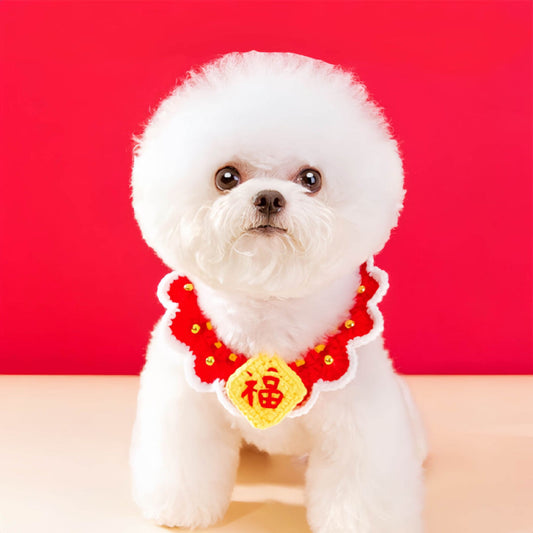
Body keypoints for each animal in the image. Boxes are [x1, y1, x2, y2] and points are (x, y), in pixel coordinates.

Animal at [131, 51, 426, 532]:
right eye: (226, 176)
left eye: (311, 178)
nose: (269, 197)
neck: (268, 311)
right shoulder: (185, 412)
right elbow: (184, 464)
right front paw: (179, 511)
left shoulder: (359, 427)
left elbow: (360, 488)